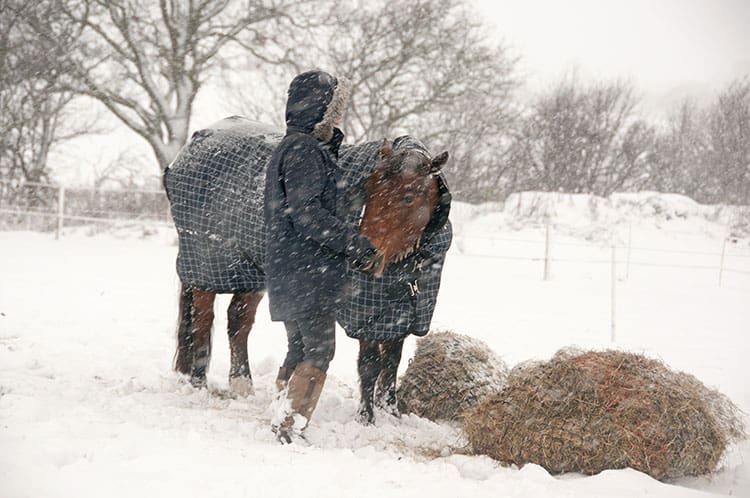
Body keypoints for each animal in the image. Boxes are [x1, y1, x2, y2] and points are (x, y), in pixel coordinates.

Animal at [163, 117, 452, 424]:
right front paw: (366, 419)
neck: (409, 264)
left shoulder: (400, 314)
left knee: (238, 323)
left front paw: (391, 412)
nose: (366, 257)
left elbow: (392, 364)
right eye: (368, 189)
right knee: (203, 321)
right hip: (206, 266)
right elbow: (370, 365)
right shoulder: (364, 314)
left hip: (249, 272)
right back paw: (198, 383)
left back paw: (242, 385)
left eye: (408, 198)